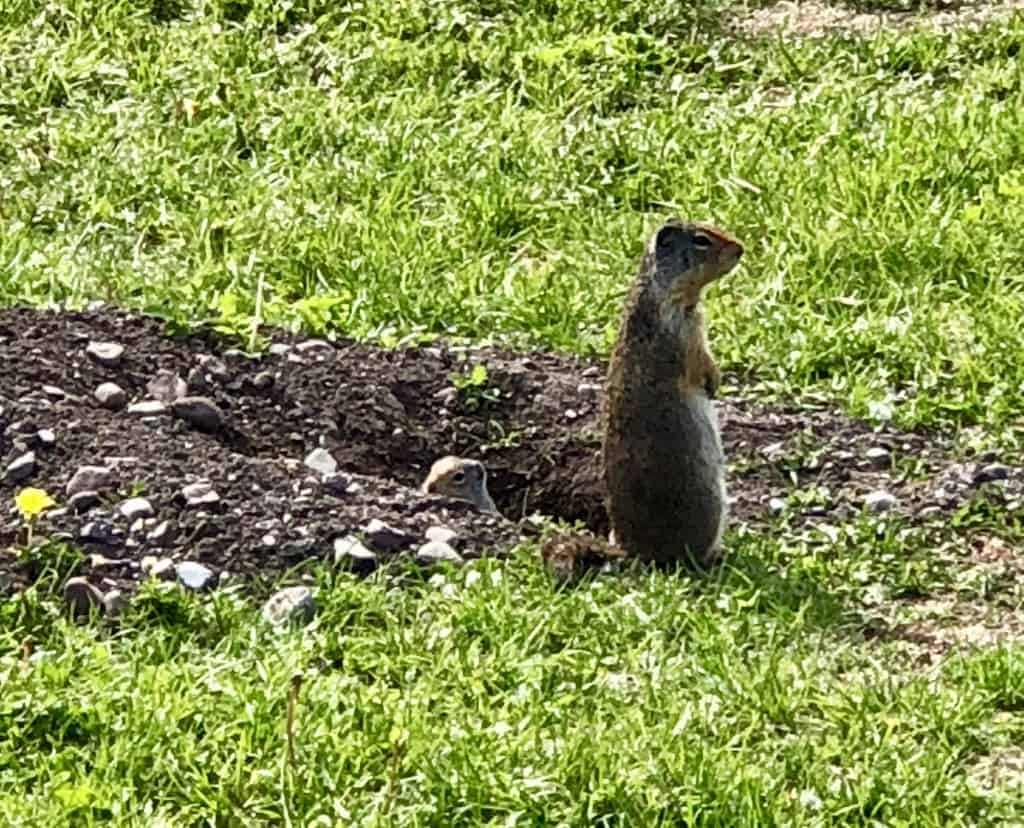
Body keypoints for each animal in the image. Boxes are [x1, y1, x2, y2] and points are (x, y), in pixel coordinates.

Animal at [601, 218, 743, 569]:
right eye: (702, 240)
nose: (741, 248)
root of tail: (631, 551)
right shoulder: (683, 332)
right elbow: (700, 364)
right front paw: (714, 383)